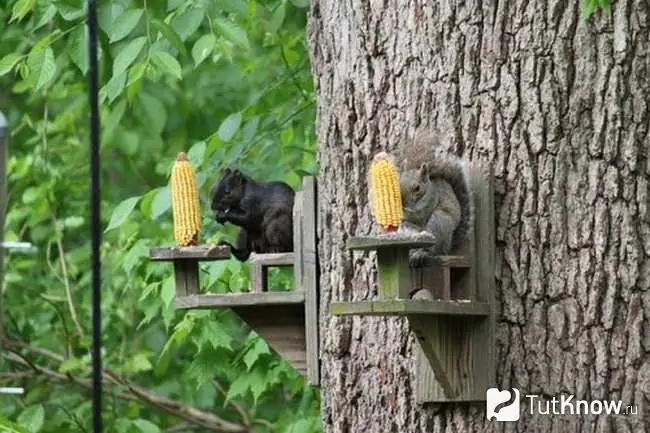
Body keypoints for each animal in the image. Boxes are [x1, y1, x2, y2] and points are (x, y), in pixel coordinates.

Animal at [392, 137, 474, 268]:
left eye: (417, 188)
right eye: (398, 183)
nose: (403, 203)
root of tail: (448, 247)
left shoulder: (431, 200)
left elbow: (420, 214)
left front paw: (405, 212)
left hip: (438, 222)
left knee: (432, 250)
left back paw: (421, 254)